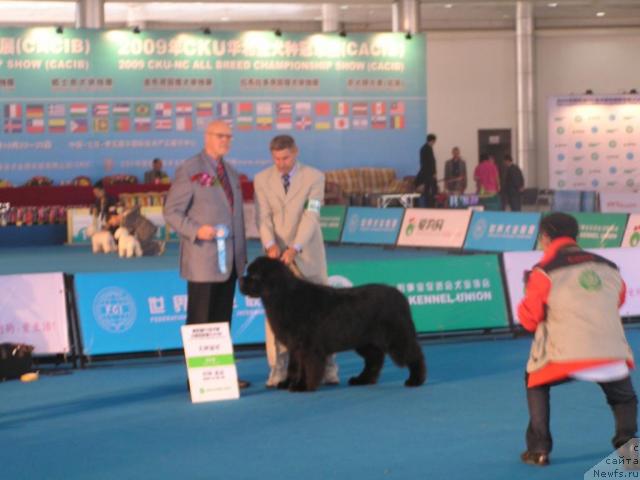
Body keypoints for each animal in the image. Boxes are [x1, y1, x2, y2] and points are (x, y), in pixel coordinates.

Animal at [238, 256, 428, 392]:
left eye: (254, 276)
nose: (240, 279)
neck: (283, 297)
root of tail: (401, 296)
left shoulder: (307, 346)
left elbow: (307, 366)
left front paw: (302, 386)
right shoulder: (295, 345)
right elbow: (294, 366)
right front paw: (287, 383)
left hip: (396, 336)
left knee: (413, 354)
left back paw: (415, 380)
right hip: (365, 341)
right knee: (374, 359)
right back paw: (362, 380)